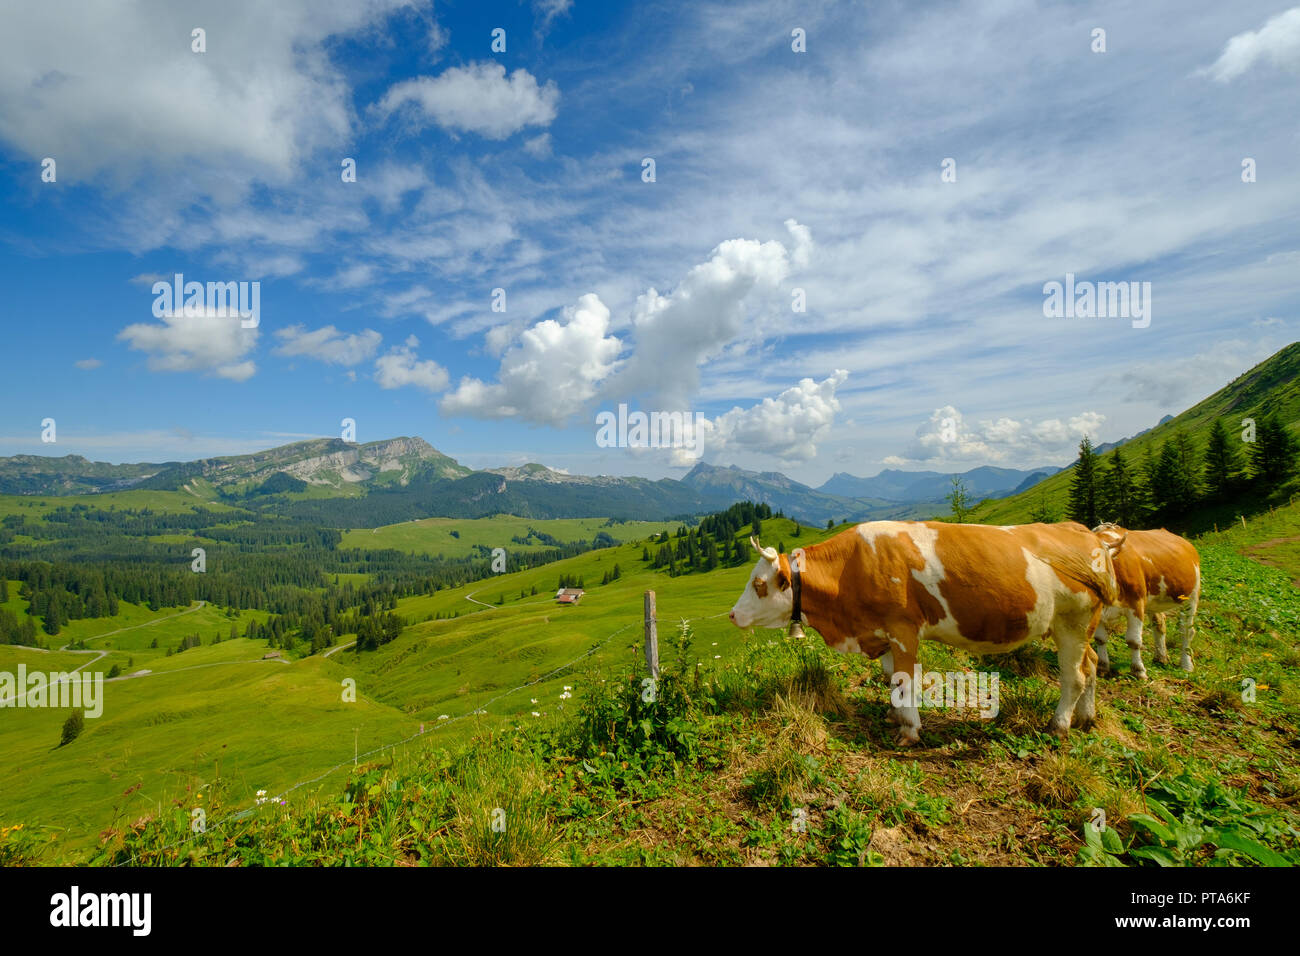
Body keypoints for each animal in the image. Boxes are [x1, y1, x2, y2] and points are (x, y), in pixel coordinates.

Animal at [728, 520, 1125, 746]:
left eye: (759, 584)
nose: (732, 614)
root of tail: (1087, 534)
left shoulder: (903, 628)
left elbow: (906, 680)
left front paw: (910, 730)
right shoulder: (883, 632)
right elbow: (891, 677)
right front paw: (895, 715)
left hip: (1074, 621)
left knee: (1074, 676)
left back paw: (1059, 726)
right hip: (1078, 626)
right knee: (1090, 665)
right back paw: (1086, 718)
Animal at [1090, 523, 1200, 677]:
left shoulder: (1136, 604)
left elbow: (1134, 640)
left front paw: (1138, 670)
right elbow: (1100, 639)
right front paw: (1102, 667)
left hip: (1192, 596)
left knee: (1186, 630)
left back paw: (1186, 664)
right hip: (1155, 600)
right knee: (1159, 623)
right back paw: (1161, 657)